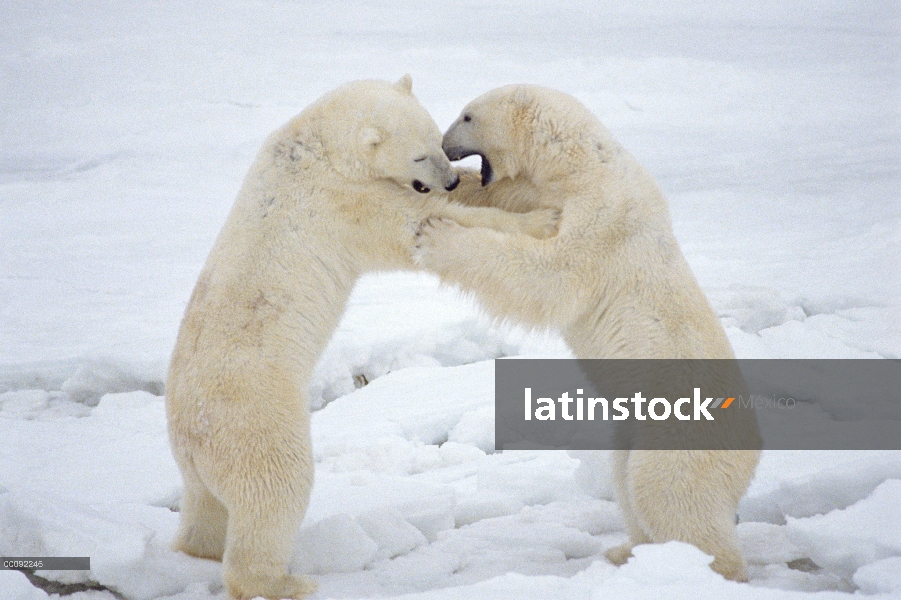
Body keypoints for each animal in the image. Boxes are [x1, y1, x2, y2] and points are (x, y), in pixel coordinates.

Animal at [163, 76, 556, 600]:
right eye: (418, 155)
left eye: (439, 142)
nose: (449, 179)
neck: (314, 149)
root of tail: (191, 436)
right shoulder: (342, 204)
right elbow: (415, 222)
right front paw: (541, 220)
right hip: (254, 421)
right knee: (275, 491)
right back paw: (285, 579)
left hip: (200, 462)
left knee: (205, 509)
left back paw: (197, 548)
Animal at [414, 84, 760, 580]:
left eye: (467, 116)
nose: (444, 148)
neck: (582, 164)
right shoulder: (548, 189)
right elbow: (508, 196)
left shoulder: (602, 215)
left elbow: (549, 273)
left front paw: (437, 235)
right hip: (639, 432)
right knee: (626, 479)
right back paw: (628, 551)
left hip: (684, 438)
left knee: (666, 494)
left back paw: (703, 566)